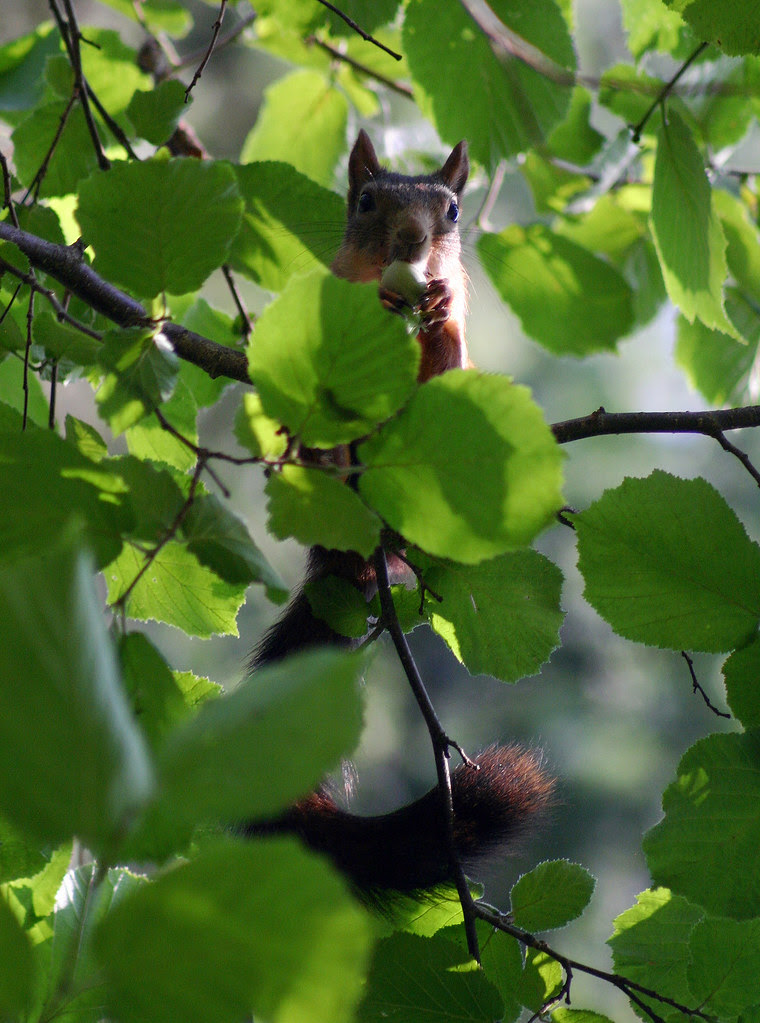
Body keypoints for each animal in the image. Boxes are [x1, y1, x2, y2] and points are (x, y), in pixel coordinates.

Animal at [245, 132, 554, 897]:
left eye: (451, 210)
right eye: (365, 201)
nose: (413, 240)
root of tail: (345, 563)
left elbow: (449, 366)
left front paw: (433, 305)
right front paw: (384, 296)